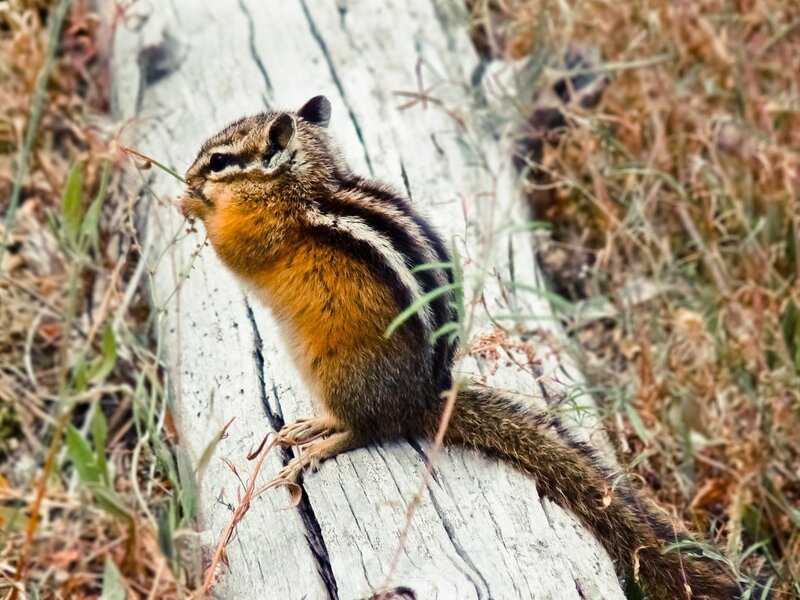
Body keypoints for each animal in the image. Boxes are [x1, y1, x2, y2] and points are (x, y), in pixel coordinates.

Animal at [179, 95, 743, 600]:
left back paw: (319, 444)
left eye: (219, 160)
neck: (305, 182)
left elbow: (233, 247)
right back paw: (311, 425)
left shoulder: (263, 230)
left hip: (337, 372)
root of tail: (425, 401)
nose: (187, 175)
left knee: (367, 429)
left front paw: (194, 203)